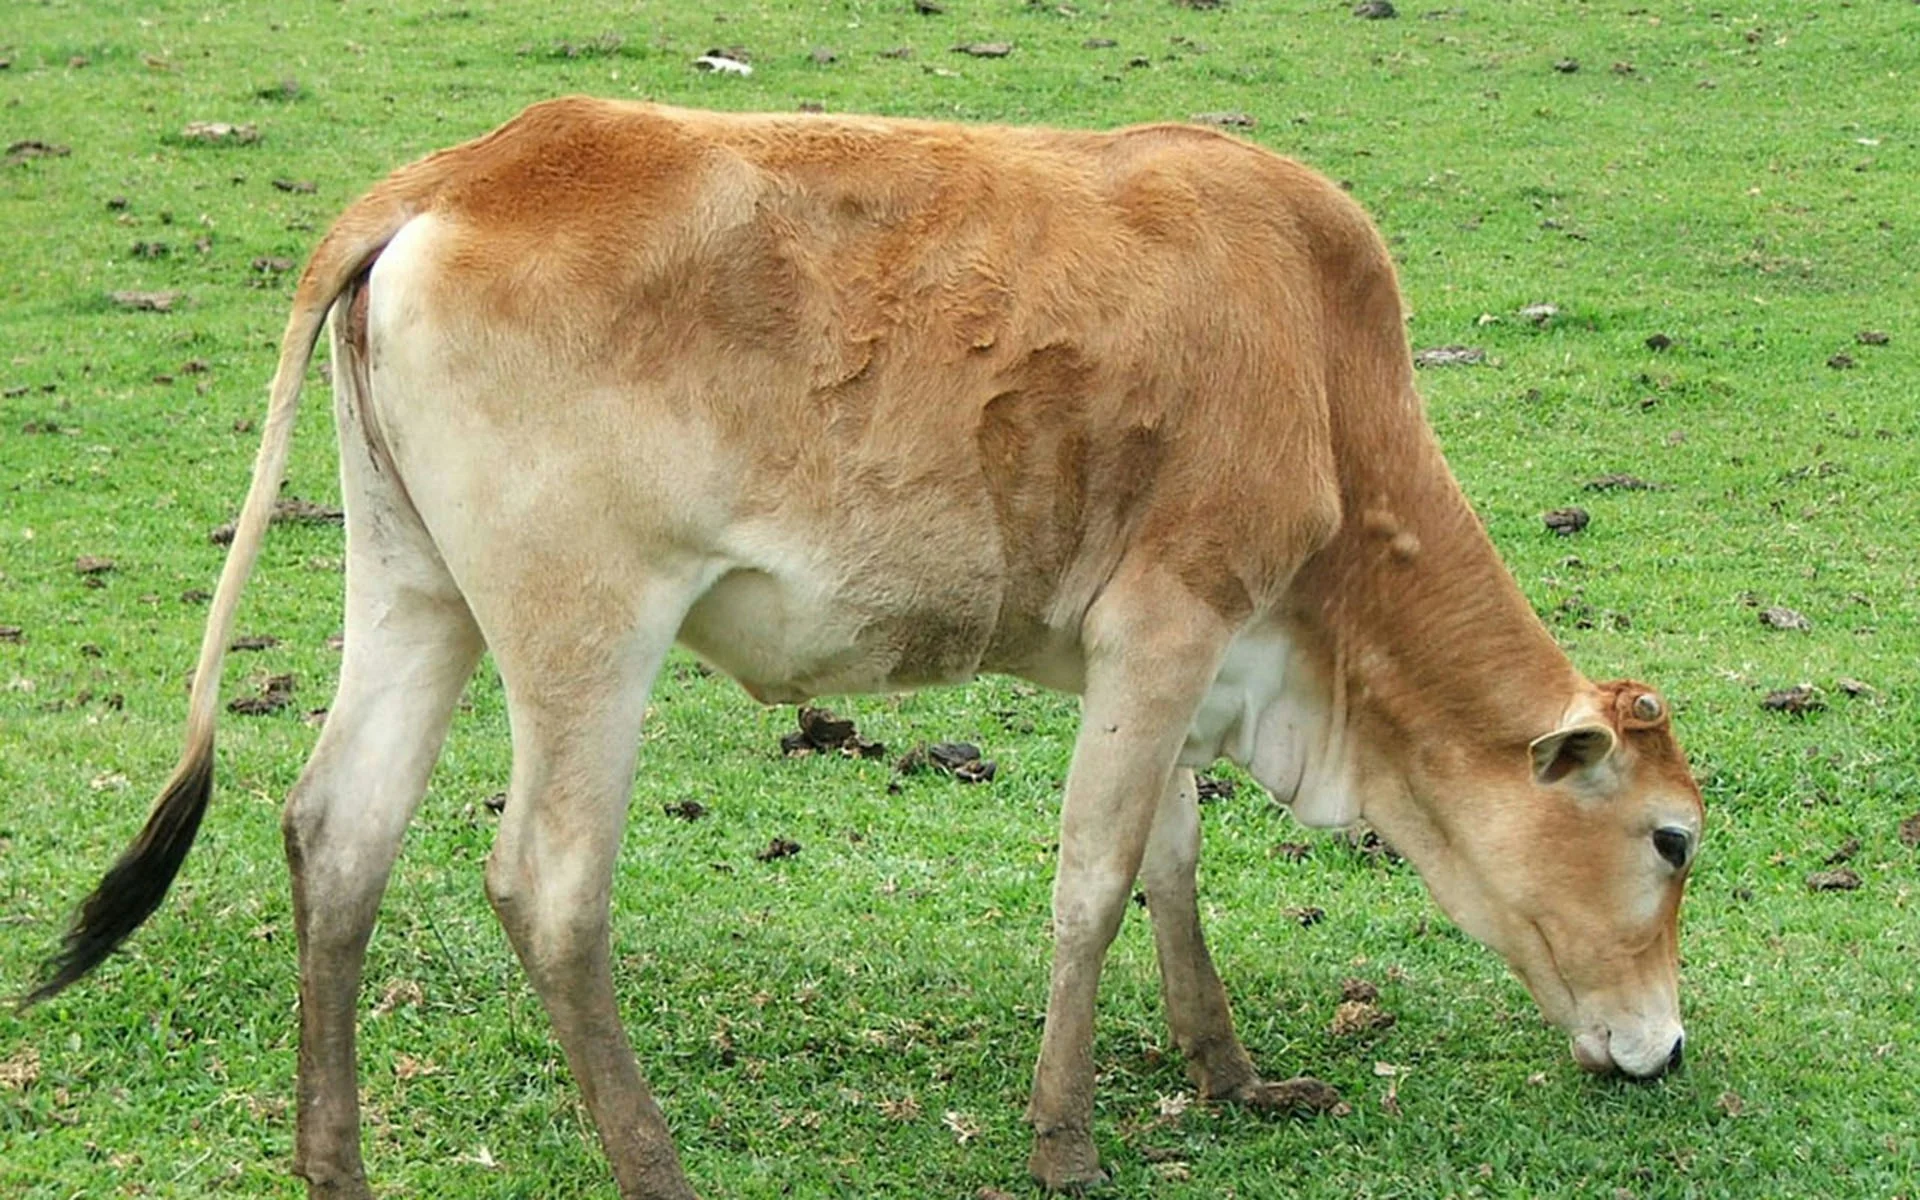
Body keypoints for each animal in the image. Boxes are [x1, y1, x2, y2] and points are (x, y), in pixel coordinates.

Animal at [28, 98, 1704, 1198]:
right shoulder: (1170, 620)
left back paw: (338, 1165)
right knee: (546, 883)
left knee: (340, 834)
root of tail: (468, 165)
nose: (1670, 1048)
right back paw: (655, 1165)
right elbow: (1096, 881)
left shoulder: (1163, 653)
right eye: (1673, 839)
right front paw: (1066, 1143)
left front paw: (1226, 1075)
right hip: (588, 626)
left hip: (411, 585)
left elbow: (1170, 860)